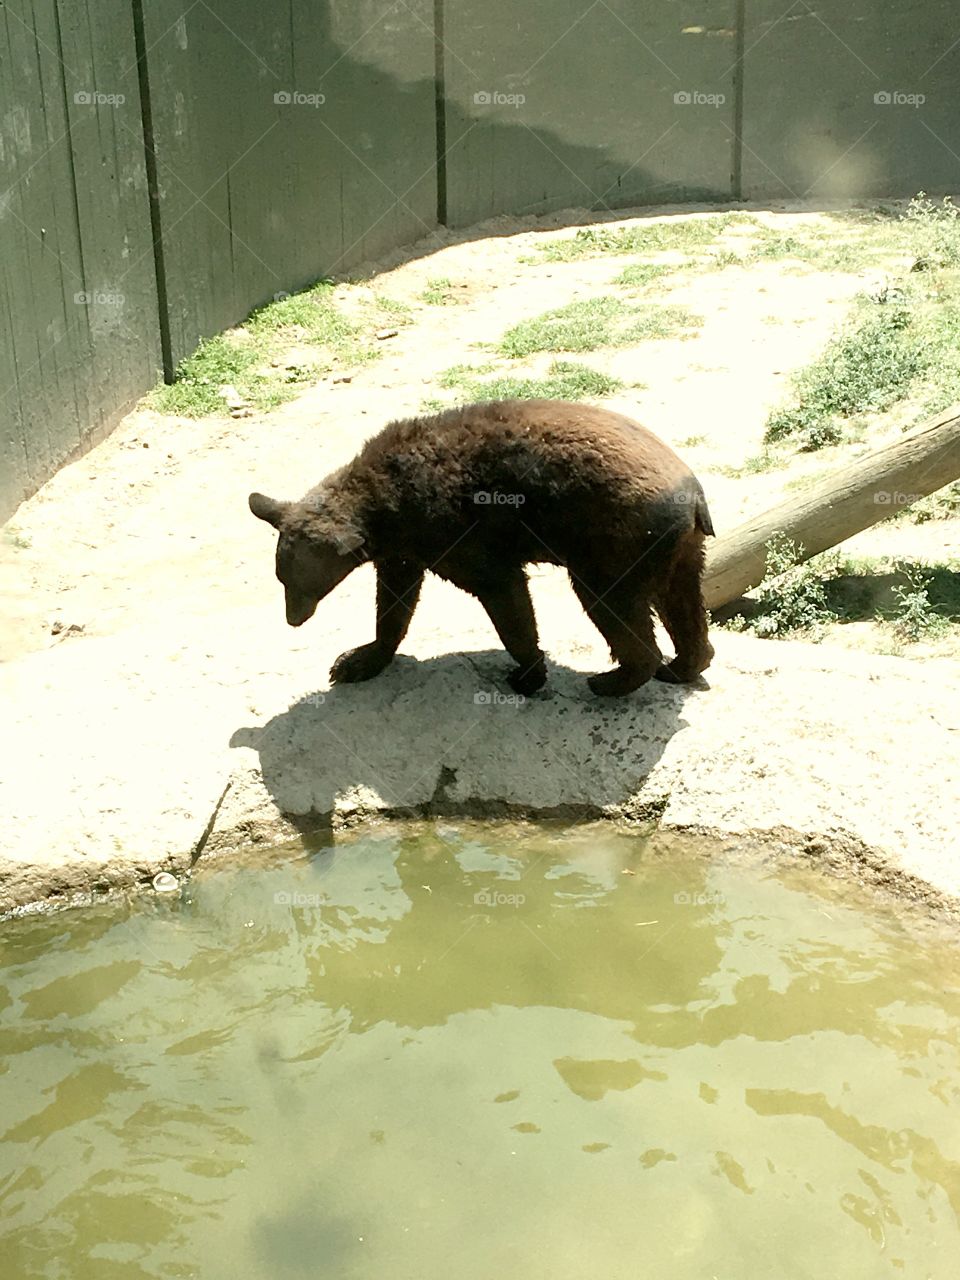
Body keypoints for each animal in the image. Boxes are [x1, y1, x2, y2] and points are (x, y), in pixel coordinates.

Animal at [249, 398, 714, 697]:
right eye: (281, 577)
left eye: (298, 582)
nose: (293, 618)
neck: (387, 507)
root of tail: (692, 495)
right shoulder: (403, 547)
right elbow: (395, 599)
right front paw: (356, 660)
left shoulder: (454, 529)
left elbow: (502, 592)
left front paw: (527, 673)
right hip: (680, 549)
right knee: (682, 602)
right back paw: (684, 664)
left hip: (613, 538)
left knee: (611, 601)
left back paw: (612, 679)